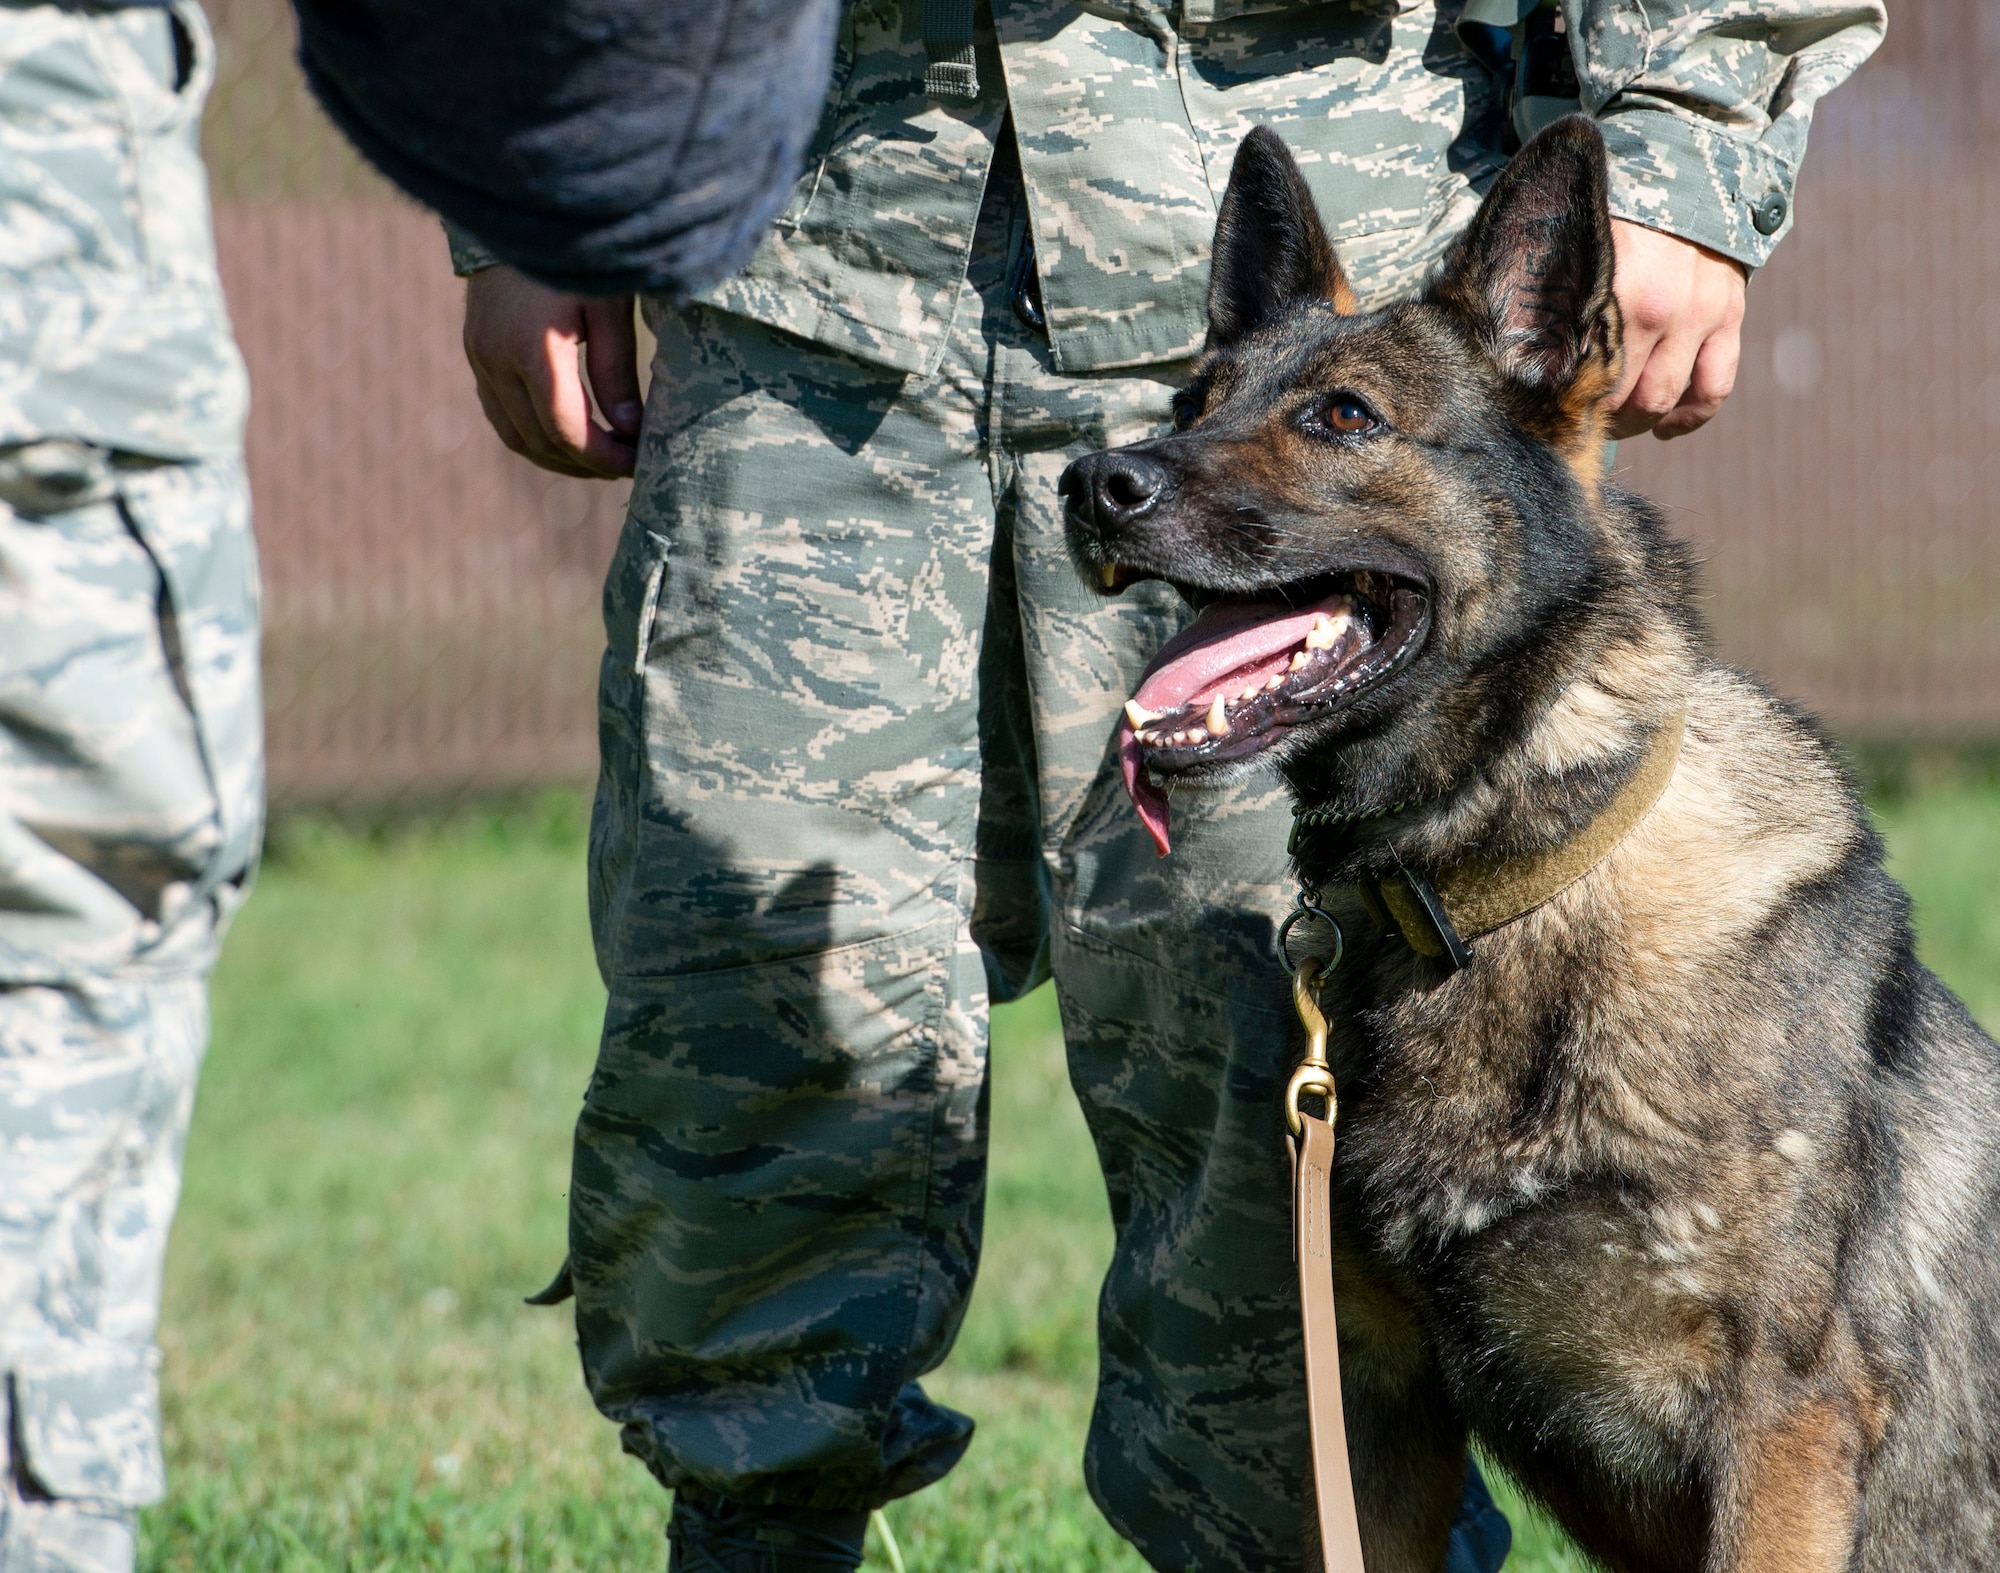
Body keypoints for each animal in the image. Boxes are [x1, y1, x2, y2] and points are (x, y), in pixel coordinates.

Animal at [1056, 116, 2000, 1560]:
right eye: (1190, 406)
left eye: (1344, 416)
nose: (1088, 487)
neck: (1496, 888)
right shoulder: (1376, 1408)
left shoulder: (1780, 1427)